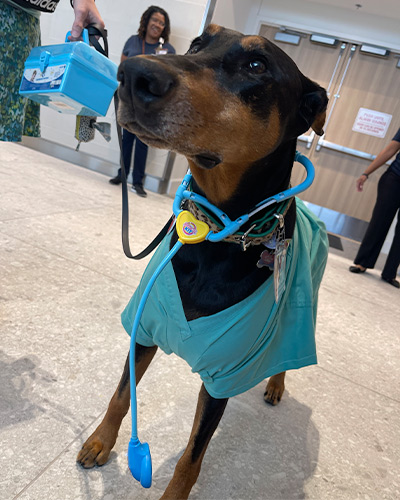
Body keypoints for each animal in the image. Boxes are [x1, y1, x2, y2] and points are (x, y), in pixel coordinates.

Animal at [76, 24, 326, 500]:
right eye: (196, 44)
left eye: (256, 65)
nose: (132, 74)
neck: (215, 236)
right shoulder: (144, 329)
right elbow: (121, 395)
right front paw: (100, 441)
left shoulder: (222, 377)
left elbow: (192, 457)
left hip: (305, 297)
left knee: (291, 346)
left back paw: (276, 383)